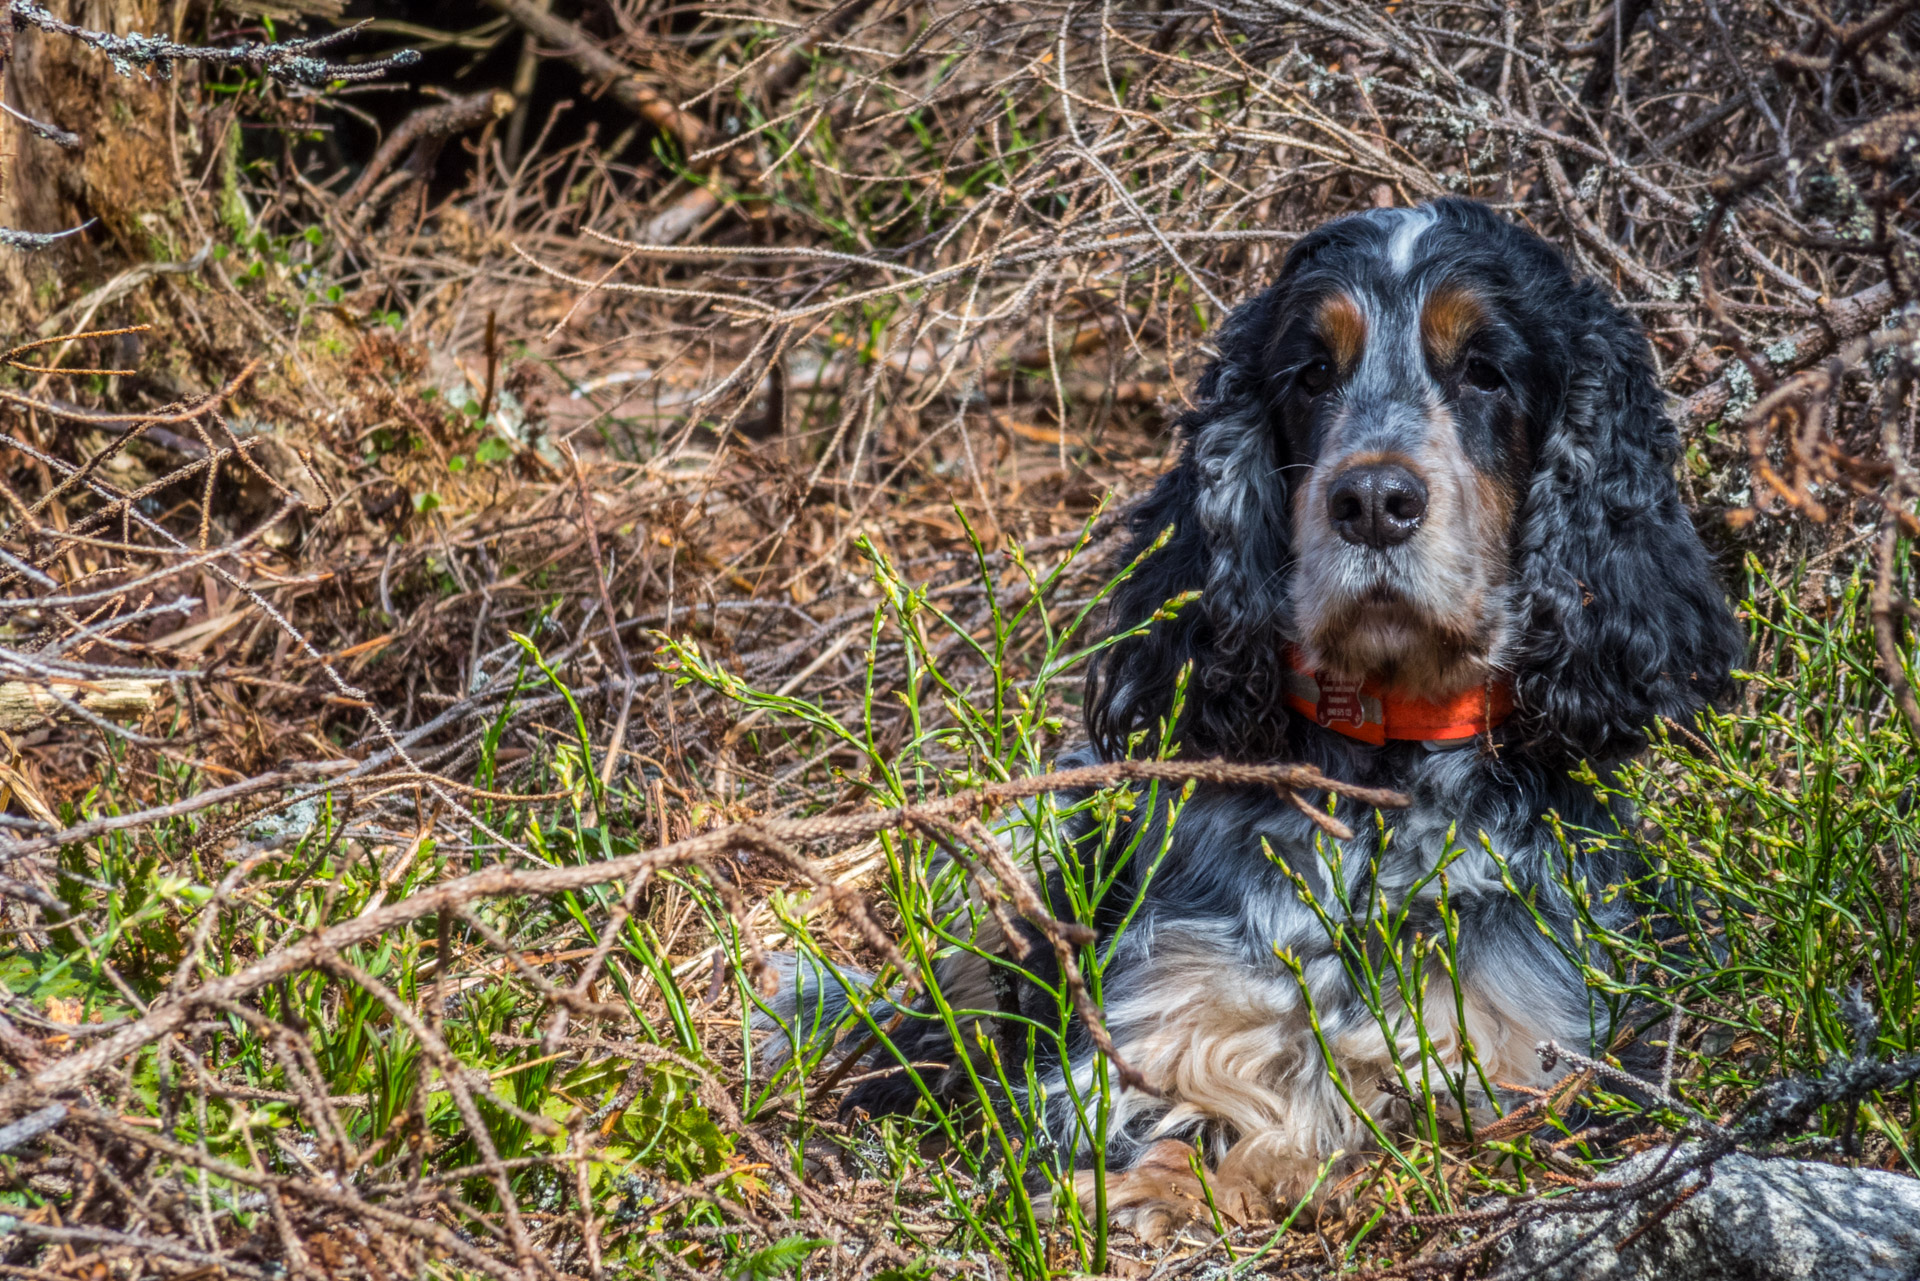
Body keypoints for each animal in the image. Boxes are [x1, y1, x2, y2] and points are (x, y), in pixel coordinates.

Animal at [760, 197, 1743, 1244]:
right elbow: (1180, 1103)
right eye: (1310, 372)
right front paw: (1163, 1184)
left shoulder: (1539, 1049)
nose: (1372, 500)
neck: (1379, 782)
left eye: (1486, 370)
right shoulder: (1153, 1022)